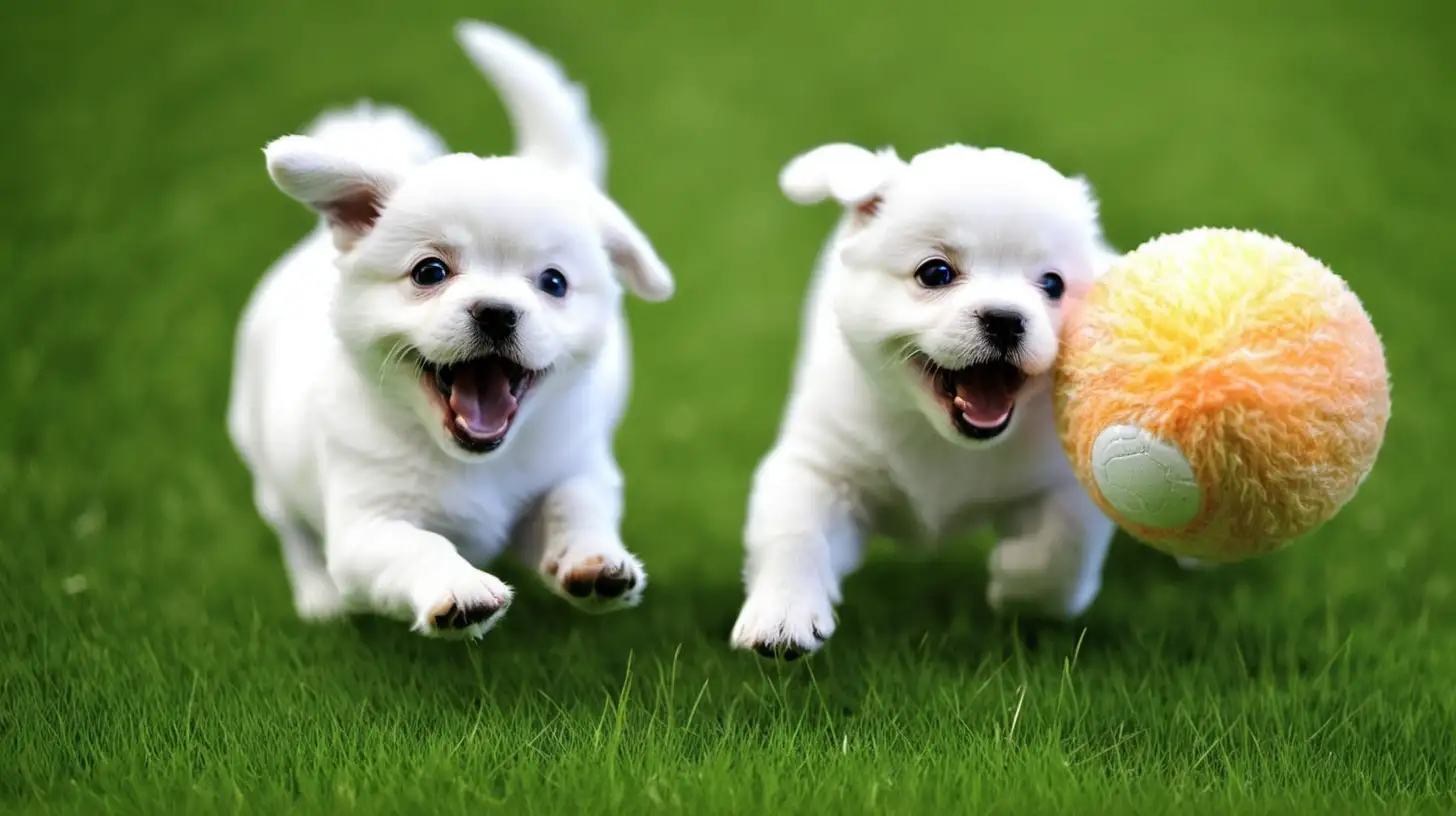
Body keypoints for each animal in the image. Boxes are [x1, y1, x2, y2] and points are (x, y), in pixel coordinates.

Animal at [228, 22, 675, 638]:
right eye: (430, 272)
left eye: (554, 282)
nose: (497, 311)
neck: (470, 461)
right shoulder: (366, 529)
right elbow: (417, 545)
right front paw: (458, 587)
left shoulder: (574, 464)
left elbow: (576, 504)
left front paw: (593, 559)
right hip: (262, 456)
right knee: (293, 531)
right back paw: (320, 600)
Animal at [733, 143, 1118, 658]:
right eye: (935, 273)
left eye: (1053, 285)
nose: (1005, 319)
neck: (939, 436)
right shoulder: (821, 466)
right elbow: (795, 534)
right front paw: (783, 613)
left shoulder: (1066, 477)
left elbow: (1062, 546)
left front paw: (1018, 585)